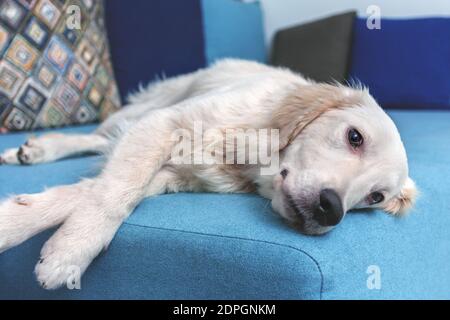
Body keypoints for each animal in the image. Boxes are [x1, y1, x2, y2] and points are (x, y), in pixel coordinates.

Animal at [0, 58, 416, 288]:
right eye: (354, 137)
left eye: (375, 197)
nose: (331, 210)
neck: (247, 158)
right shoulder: (162, 123)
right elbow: (113, 192)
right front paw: (71, 252)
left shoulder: (170, 174)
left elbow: (95, 190)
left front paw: (22, 220)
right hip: (144, 108)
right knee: (95, 135)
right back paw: (40, 149)